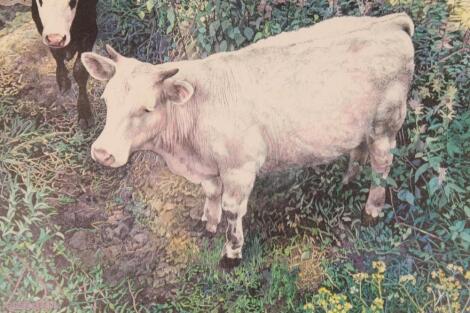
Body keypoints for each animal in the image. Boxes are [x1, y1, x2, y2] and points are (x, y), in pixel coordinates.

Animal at [82, 11, 414, 266]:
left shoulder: (239, 168)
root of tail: (390, 22)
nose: (102, 153)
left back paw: (372, 210)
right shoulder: (209, 167)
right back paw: (346, 182)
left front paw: (231, 253)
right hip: (360, 125)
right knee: (359, 150)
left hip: (386, 124)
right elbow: (211, 194)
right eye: (107, 99)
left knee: (382, 163)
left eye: (147, 108)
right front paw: (208, 223)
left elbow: (232, 210)